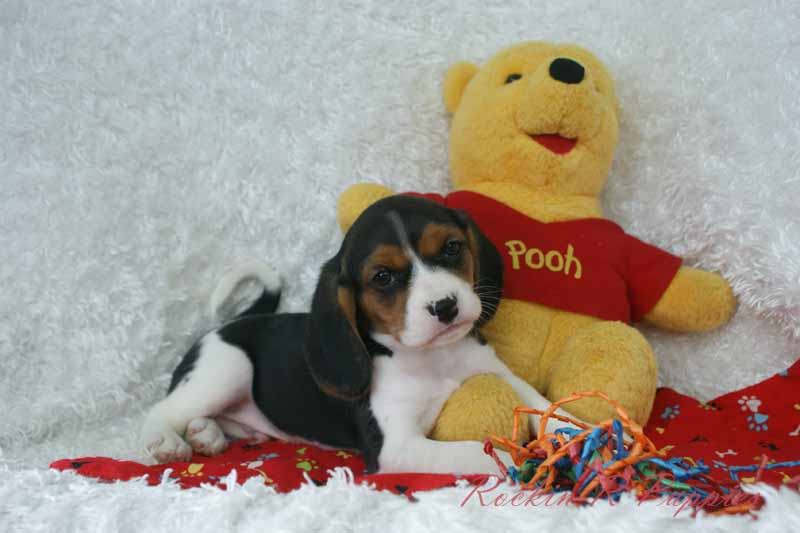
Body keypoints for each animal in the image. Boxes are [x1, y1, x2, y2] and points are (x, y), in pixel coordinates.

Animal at [141, 195, 579, 474]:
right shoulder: (397, 446)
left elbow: (548, 408)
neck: (434, 357)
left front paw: (586, 435)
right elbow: (478, 451)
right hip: (227, 368)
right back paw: (169, 440)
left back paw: (206, 434)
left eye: (452, 248)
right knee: (161, 410)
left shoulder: (501, 376)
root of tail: (228, 325)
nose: (446, 307)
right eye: (383, 277)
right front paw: (526, 460)